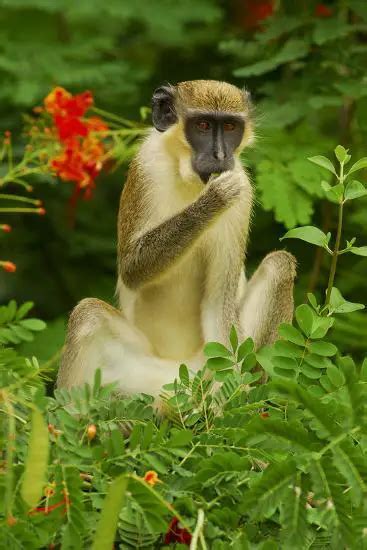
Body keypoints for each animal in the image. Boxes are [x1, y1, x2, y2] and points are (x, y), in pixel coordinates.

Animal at [57, 81, 298, 402]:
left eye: (230, 126)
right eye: (204, 125)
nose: (220, 155)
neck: (190, 180)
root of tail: (182, 375)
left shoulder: (244, 192)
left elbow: (219, 302)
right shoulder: (146, 165)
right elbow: (132, 268)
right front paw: (213, 200)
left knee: (280, 264)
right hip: (137, 378)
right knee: (88, 316)